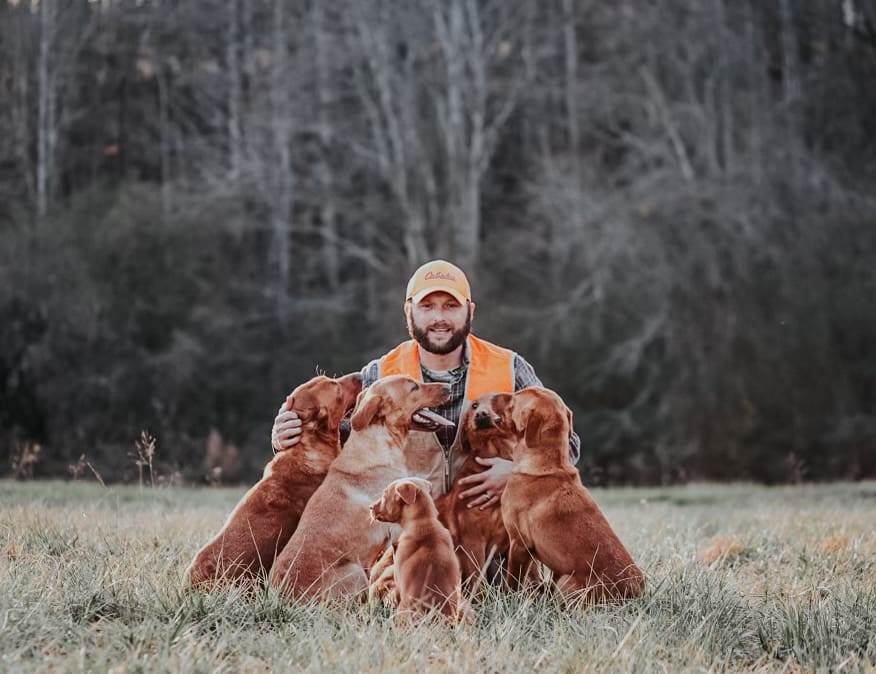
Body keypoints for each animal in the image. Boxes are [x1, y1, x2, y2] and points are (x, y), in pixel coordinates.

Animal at [500, 386, 644, 600]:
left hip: (567, 582)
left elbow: (512, 582)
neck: (547, 463)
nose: (500, 395)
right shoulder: (546, 560)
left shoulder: (519, 543)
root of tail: (634, 593)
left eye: (516, 398)